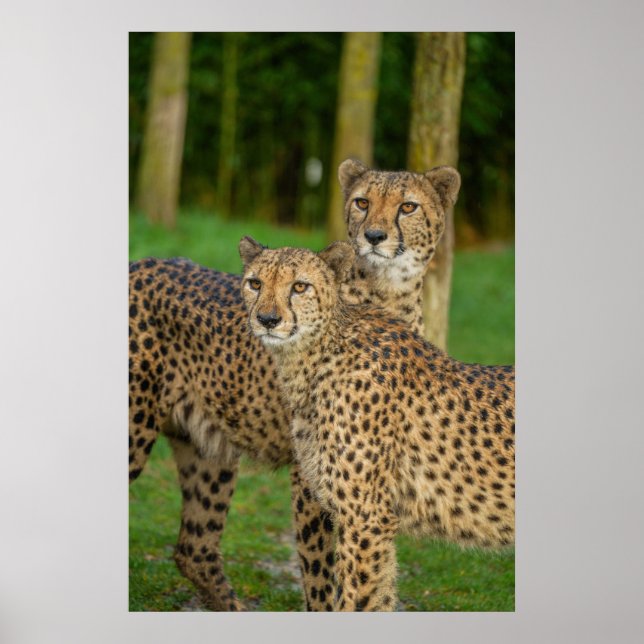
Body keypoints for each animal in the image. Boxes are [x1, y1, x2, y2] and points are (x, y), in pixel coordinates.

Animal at [128, 159, 461, 610]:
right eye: (362, 202)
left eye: (407, 206)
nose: (374, 236)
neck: (387, 296)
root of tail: (140, 263)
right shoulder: (311, 477)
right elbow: (320, 569)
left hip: (207, 447)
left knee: (193, 548)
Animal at [239, 239, 515, 611]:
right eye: (255, 283)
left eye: (299, 287)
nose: (268, 320)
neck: (317, 357)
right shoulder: (370, 520)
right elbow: (379, 597)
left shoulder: (365, 517)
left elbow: (354, 600)